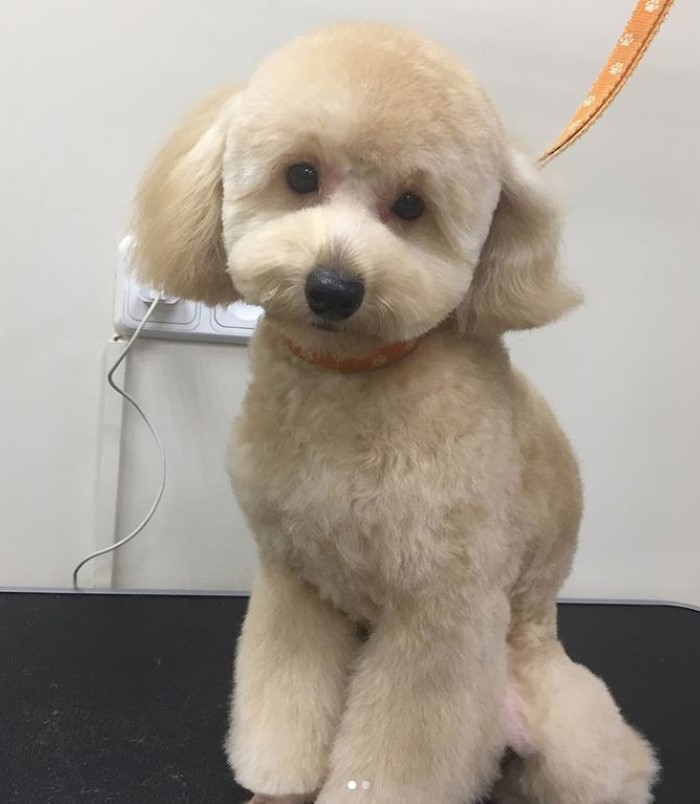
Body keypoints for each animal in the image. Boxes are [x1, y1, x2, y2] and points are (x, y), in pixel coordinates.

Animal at [134, 22, 660, 800]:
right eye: (300, 175)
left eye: (412, 206)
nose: (332, 287)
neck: (348, 377)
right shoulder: (295, 581)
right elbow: (284, 692)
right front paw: (275, 782)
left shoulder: (441, 609)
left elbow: (403, 750)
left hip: (560, 718)